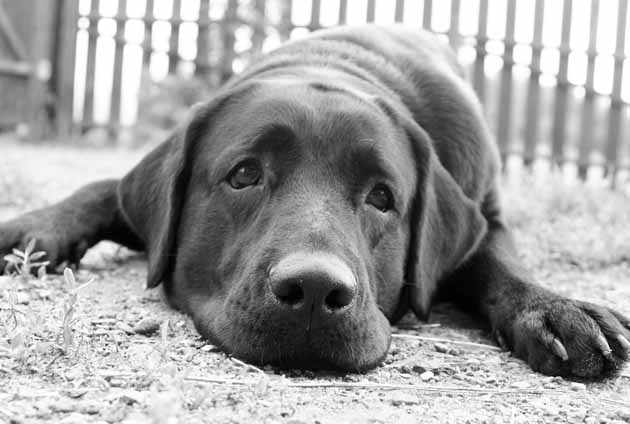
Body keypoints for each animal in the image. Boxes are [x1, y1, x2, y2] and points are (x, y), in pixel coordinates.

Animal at [0, 25, 628, 378]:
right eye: (244, 174)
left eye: (382, 197)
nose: (315, 289)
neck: (342, 64)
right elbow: (104, 188)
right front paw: (35, 228)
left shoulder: (486, 207)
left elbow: (497, 259)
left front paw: (556, 308)